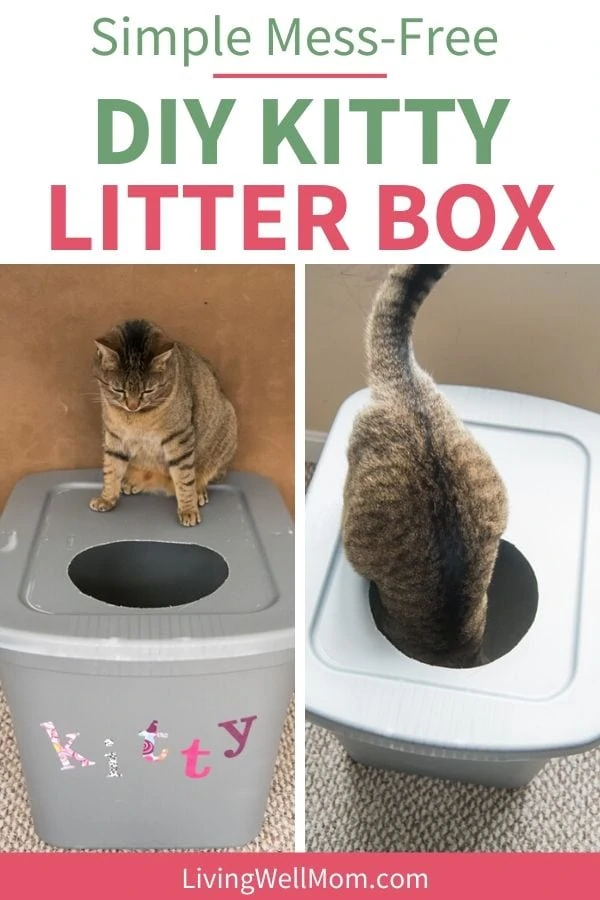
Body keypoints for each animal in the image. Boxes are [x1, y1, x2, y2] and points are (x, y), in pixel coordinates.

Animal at [90, 318, 236, 524]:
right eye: (118, 390)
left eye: (148, 391)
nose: (132, 405)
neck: (135, 418)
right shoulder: (114, 436)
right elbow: (111, 469)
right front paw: (107, 497)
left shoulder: (179, 437)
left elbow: (184, 477)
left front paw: (188, 509)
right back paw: (132, 482)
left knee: (198, 475)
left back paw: (198, 492)